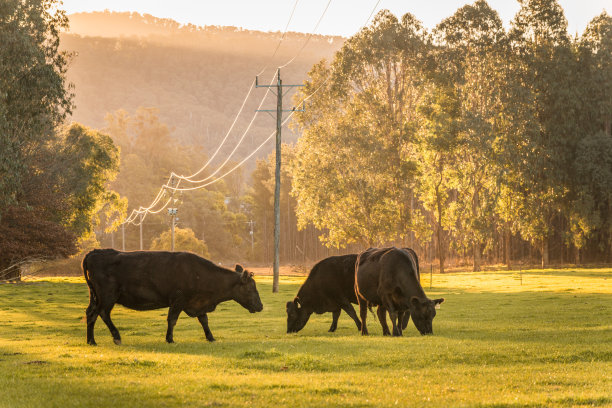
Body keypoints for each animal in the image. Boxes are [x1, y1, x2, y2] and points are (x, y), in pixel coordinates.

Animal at [82, 249, 262, 344]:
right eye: (251, 288)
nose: (260, 306)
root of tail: (95, 252)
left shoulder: (197, 303)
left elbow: (204, 320)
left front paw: (211, 337)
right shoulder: (178, 300)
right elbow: (172, 319)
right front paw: (169, 339)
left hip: (96, 297)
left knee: (90, 313)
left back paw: (91, 340)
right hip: (107, 296)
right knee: (102, 313)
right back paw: (115, 337)